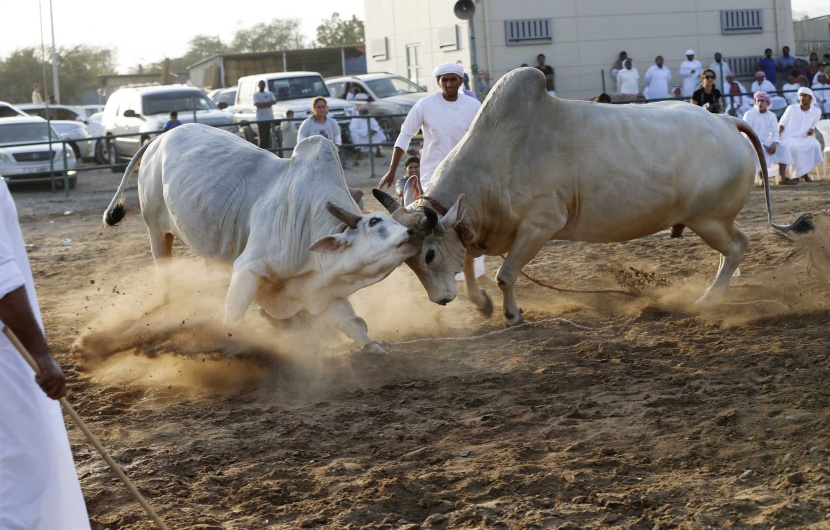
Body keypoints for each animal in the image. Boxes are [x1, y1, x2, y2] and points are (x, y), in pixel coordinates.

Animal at [104, 124, 428, 350]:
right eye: (374, 221)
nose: (414, 231)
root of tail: (158, 139)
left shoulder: (321, 294)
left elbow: (355, 326)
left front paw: (377, 350)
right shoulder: (249, 269)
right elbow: (233, 318)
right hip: (157, 232)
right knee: (165, 272)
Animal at [374, 64, 796, 324]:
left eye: (428, 254)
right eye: (410, 263)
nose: (440, 300)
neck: (499, 159)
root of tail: (725, 119)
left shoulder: (540, 226)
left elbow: (505, 275)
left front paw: (512, 314)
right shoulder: (481, 232)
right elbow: (469, 266)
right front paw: (482, 304)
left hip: (708, 219)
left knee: (738, 246)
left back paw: (707, 300)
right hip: (710, 220)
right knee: (734, 248)